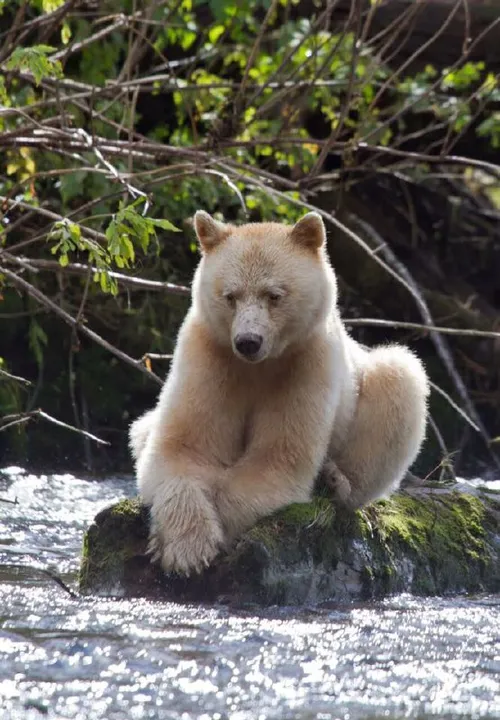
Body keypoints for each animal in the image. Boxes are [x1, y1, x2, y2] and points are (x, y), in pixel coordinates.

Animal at [130, 211, 430, 576]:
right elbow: (183, 449)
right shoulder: (209, 356)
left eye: (274, 295)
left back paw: (336, 481)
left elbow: (277, 460)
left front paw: (219, 529)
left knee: (399, 378)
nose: (248, 341)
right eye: (230, 296)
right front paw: (185, 549)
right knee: (142, 429)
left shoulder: (306, 365)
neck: (260, 365)